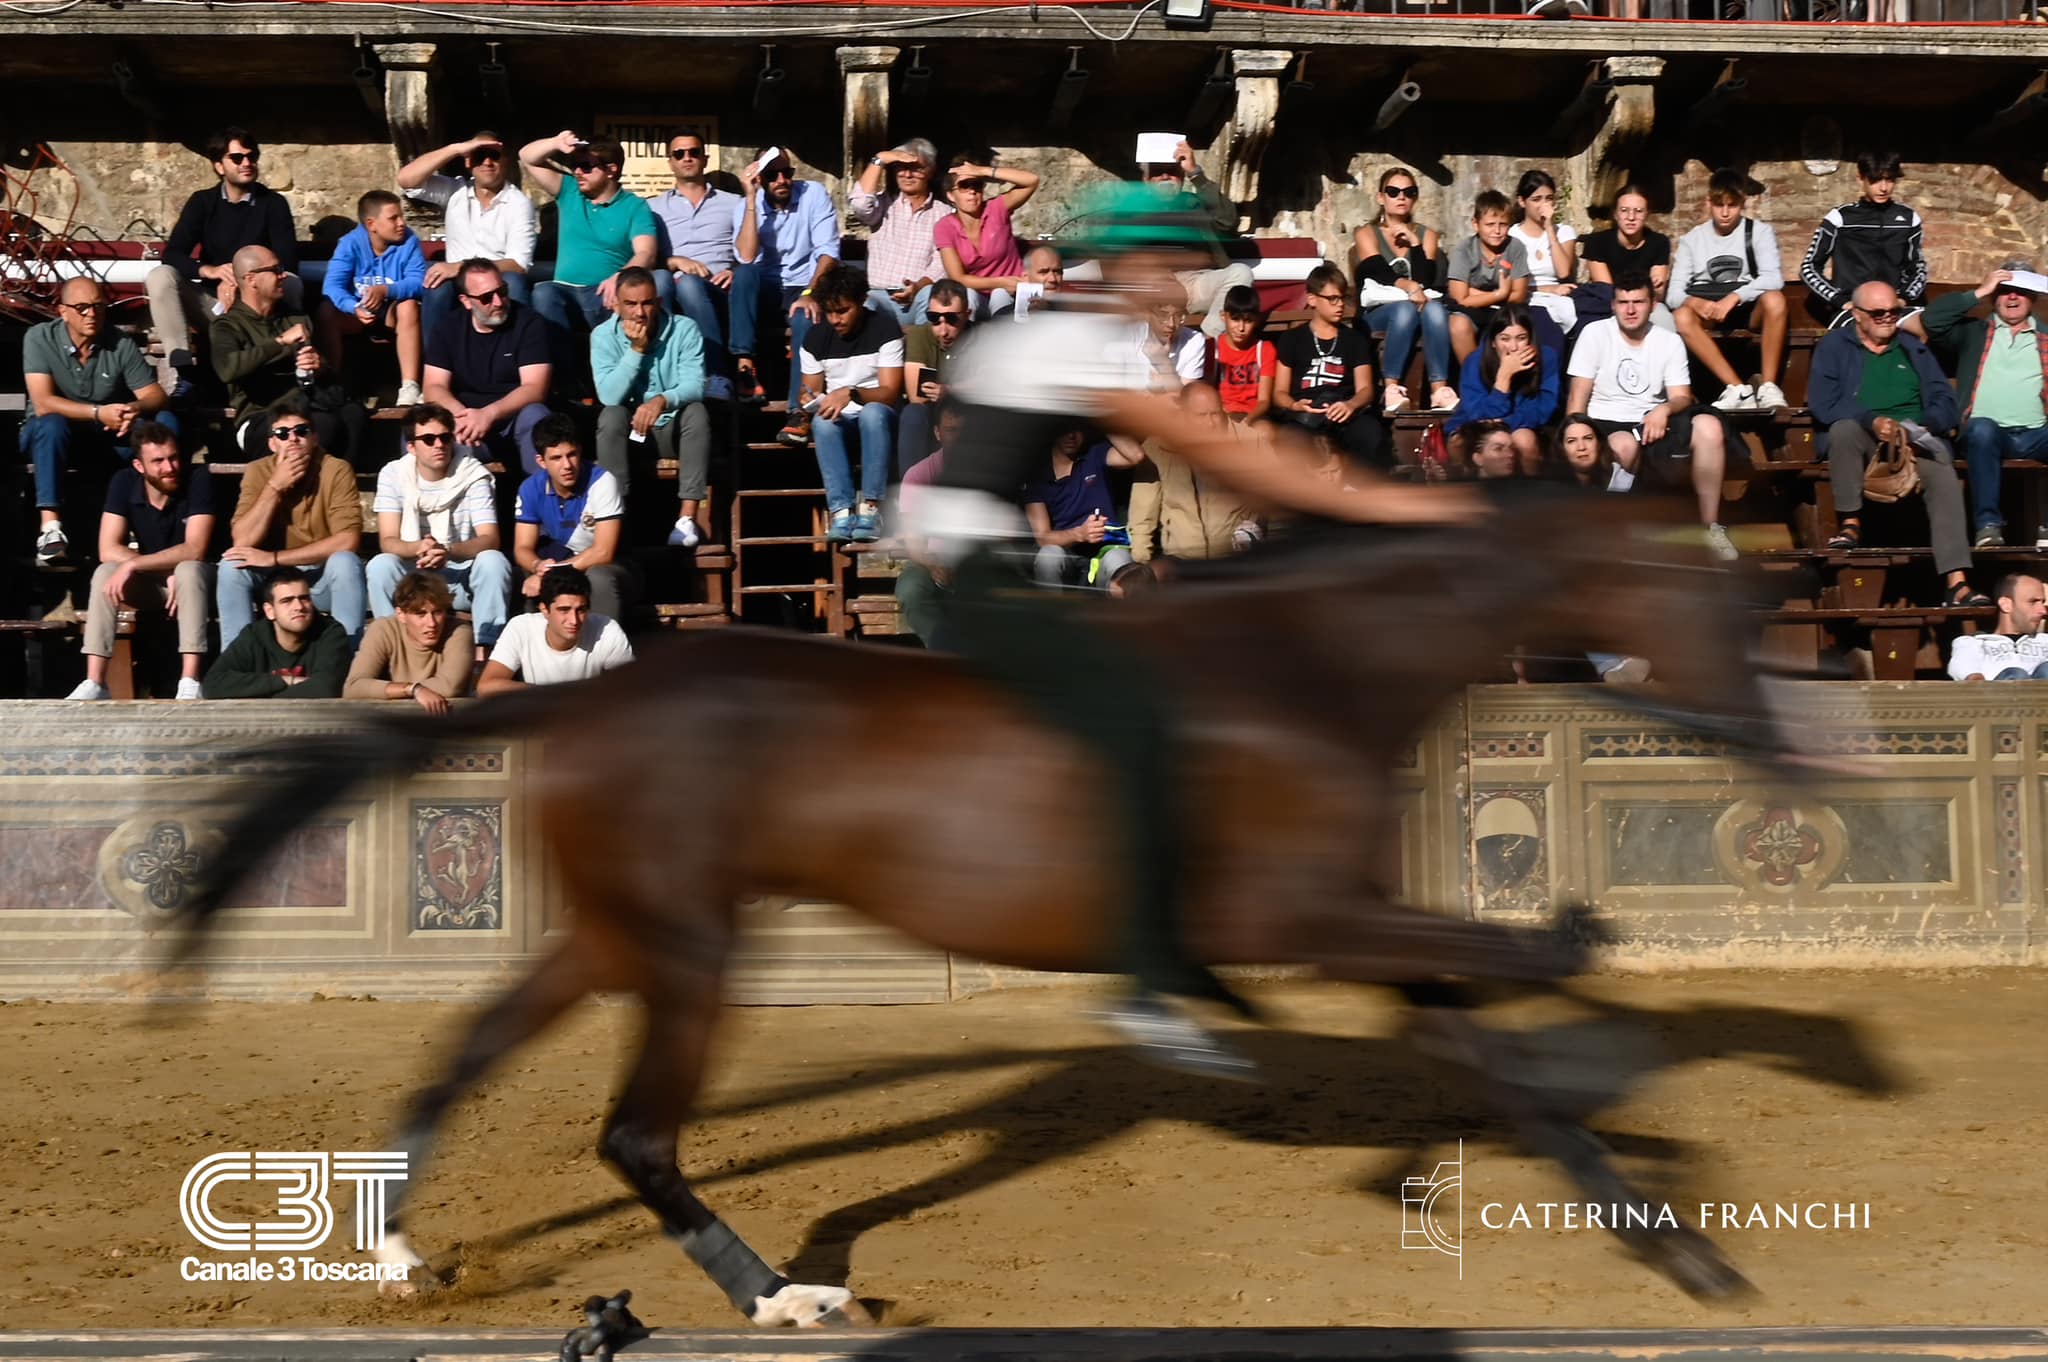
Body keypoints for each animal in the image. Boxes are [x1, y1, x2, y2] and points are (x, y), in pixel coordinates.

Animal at [172, 491, 1810, 1327]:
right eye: (1711, 603)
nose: (1779, 741)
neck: (1306, 668)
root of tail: (598, 695)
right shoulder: (1298, 913)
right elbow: (1518, 960)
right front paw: (1590, 988)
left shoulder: (1351, 918)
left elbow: (1496, 1055)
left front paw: (1686, 1249)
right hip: (692, 946)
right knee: (635, 1131)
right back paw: (782, 1296)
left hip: (624, 927)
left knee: (472, 1047)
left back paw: (400, 1243)